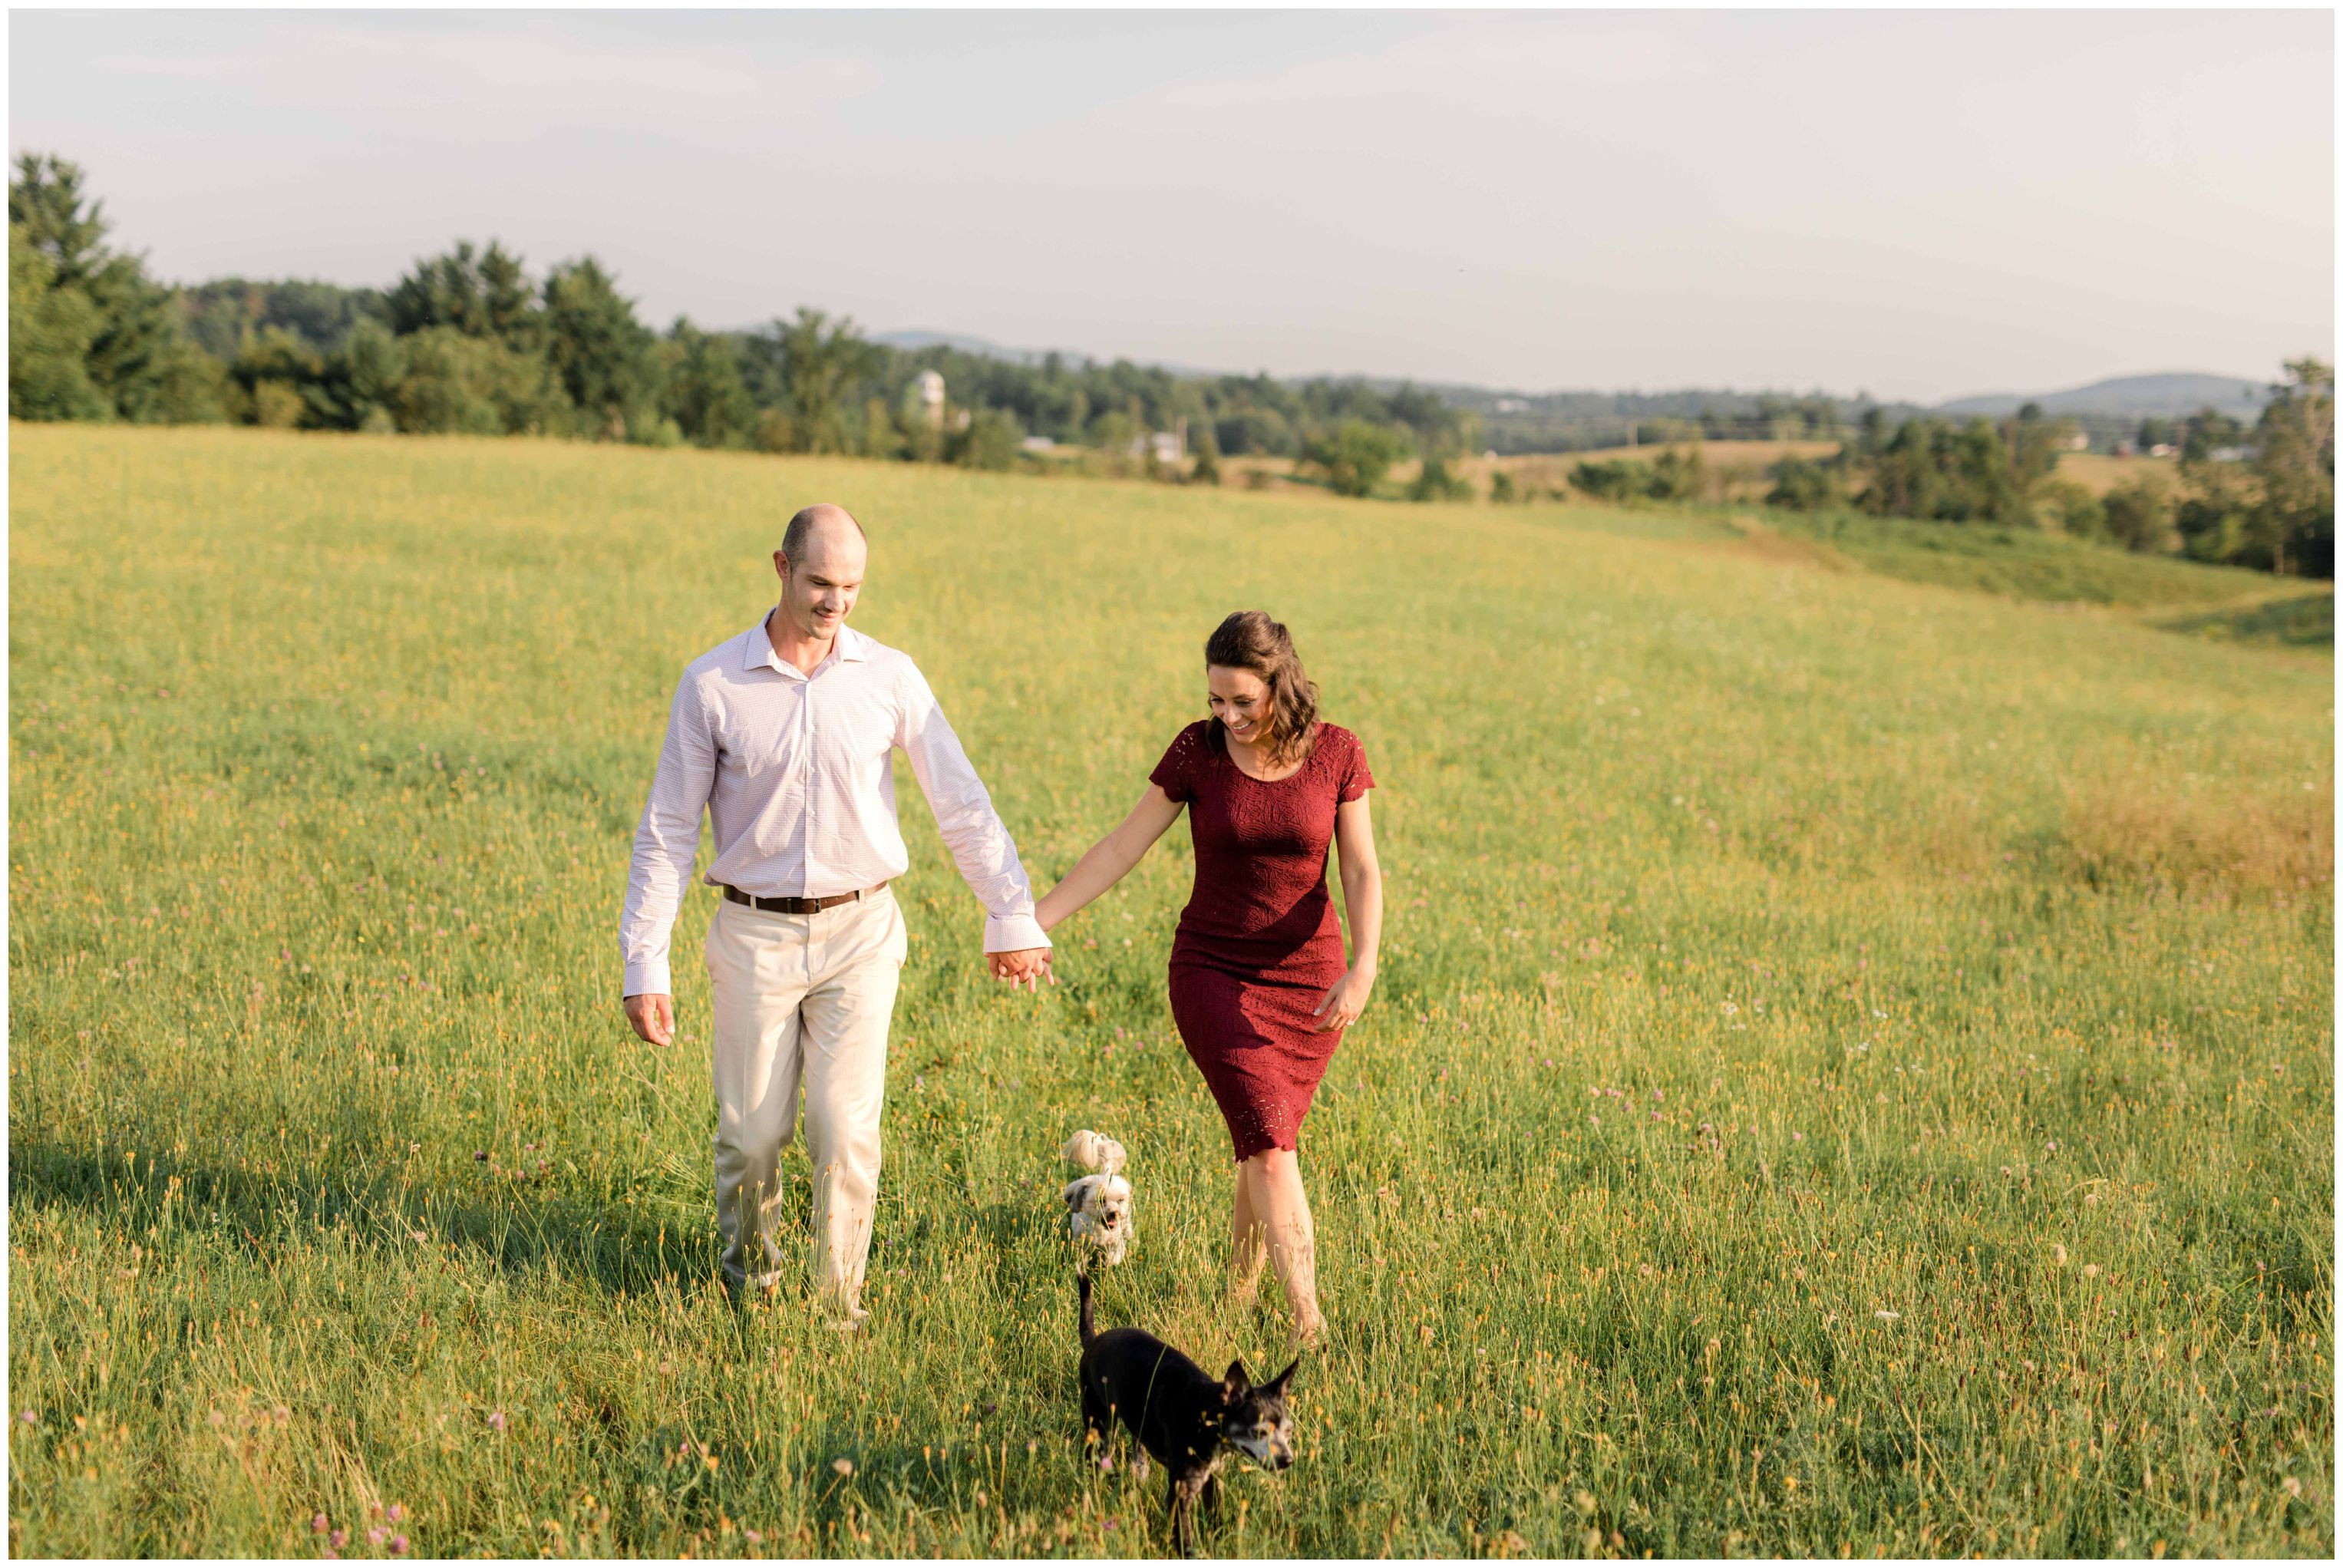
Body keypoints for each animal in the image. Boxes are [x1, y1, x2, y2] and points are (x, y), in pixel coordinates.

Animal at [1064, 1129, 1134, 1266]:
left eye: (1120, 1200)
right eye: (1101, 1200)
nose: (1115, 1213)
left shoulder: (1116, 1244)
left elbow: (1113, 1258)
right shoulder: (1082, 1243)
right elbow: (1082, 1260)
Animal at [1077, 1275, 1302, 1556]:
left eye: (1288, 1431)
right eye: (1259, 1432)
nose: (1287, 1460)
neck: (1204, 1415)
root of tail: (1094, 1341)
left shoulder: (1213, 1480)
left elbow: (1217, 1519)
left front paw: (1221, 1544)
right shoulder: (1181, 1492)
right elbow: (1184, 1539)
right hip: (1099, 1425)